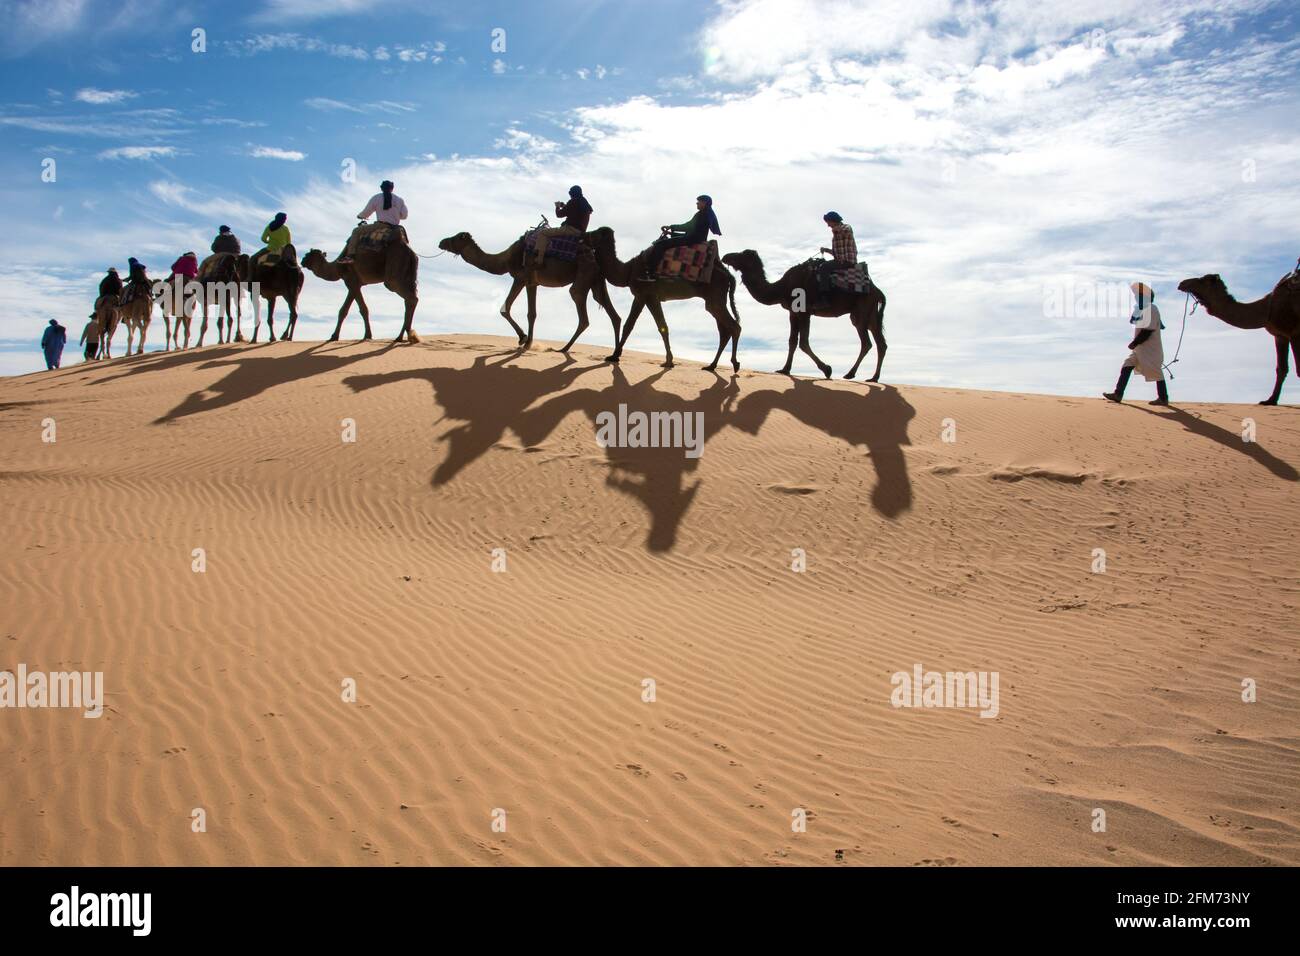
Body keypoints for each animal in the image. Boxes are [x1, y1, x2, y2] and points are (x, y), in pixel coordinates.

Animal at [436, 230, 618, 353]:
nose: (441, 242)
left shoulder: (521, 277)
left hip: (583, 277)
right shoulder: (532, 283)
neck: (505, 259)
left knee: (582, 313)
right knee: (612, 313)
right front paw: (527, 342)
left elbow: (507, 309)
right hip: (597, 281)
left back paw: (563, 349)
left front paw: (523, 340)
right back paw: (613, 354)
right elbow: (532, 313)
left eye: (456, 237)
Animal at [582, 226, 743, 371]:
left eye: (596, 232)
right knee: (724, 331)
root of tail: (728, 275)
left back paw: (735, 364)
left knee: (734, 327)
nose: (583, 236)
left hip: (715, 297)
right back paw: (711, 366)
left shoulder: (648, 295)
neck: (629, 270)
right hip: (714, 300)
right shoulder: (642, 296)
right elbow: (633, 325)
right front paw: (616, 355)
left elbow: (656, 326)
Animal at [717, 251, 889, 382]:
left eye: (742, 255)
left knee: (866, 342)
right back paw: (873, 378)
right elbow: (792, 341)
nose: (726, 256)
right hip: (870, 313)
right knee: (880, 343)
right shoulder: (793, 312)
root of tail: (878, 291)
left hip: (862, 309)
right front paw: (785, 369)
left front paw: (827, 370)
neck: (782, 287)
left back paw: (851, 374)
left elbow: (804, 343)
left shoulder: (804, 311)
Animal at [1180, 270, 1300, 405]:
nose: (1182, 283)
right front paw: (1270, 401)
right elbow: (1281, 369)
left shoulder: (1295, 334)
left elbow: (1299, 369)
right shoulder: (1280, 336)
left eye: (1203, 280)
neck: (1267, 310)